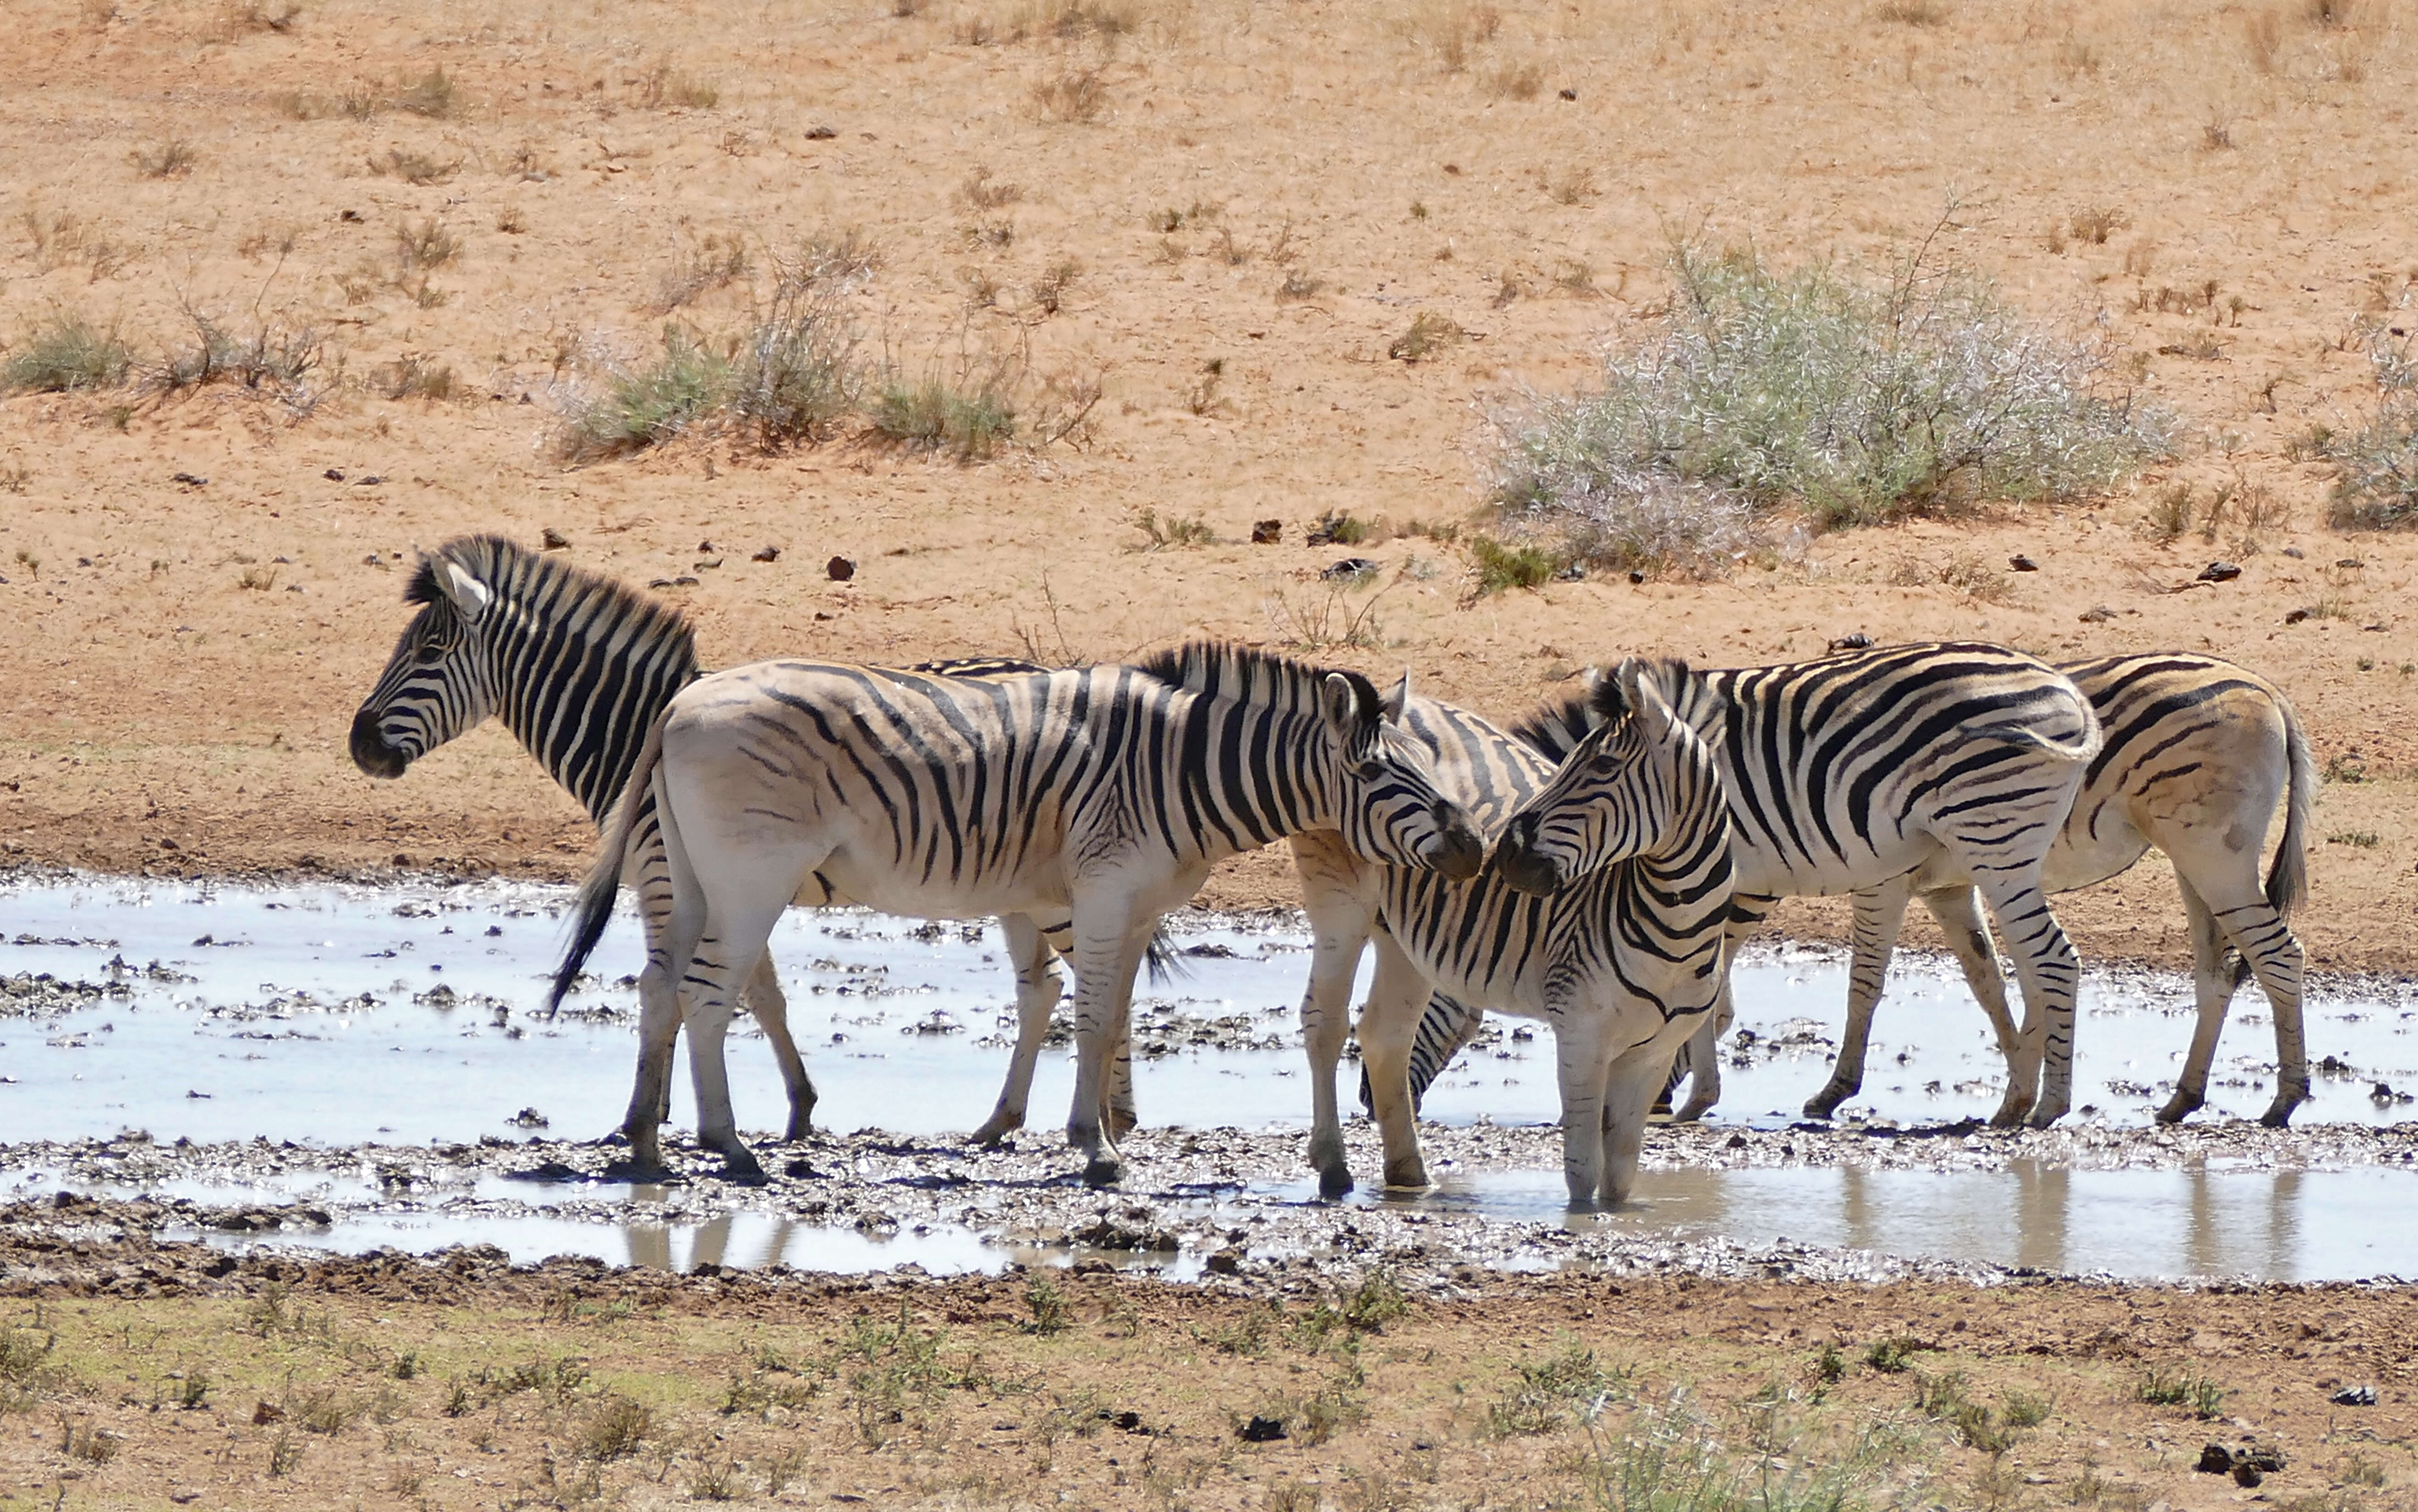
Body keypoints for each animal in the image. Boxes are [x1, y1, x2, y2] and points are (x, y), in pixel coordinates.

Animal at [348, 535, 1161, 1181]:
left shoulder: (668, 876)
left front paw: (667, 1113)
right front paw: (782, 1107)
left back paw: (1113, 1117)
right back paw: (1016, 1122)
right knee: (1047, 988)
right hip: (1020, 890)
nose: (359, 745)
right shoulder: (707, 879)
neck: (640, 727)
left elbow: (697, 991)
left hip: (1057, 889)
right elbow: (751, 991)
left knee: (1100, 983)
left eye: (426, 653)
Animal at [553, 634, 1489, 1181]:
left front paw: (1097, 1132)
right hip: (753, 876)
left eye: (1423, 763)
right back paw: (730, 1146)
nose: (1476, 848)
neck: (1179, 766)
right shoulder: (1105, 889)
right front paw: (1097, 1149)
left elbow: (1110, 1018)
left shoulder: (1136, 904)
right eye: (1375, 774)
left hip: (691, 872)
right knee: (706, 994)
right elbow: (1094, 1017)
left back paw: (645, 1142)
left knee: (658, 986)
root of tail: (680, 701)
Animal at [1344, 658, 1741, 1204]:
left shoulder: (1653, 1052)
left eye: (1603, 767)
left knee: (1386, 1037)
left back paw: (1408, 1178)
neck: (1677, 931)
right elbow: (1582, 1171)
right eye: (1569, 761)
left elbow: (1620, 1173)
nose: (1502, 854)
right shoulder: (1580, 1031)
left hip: (1405, 944)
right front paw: (1582, 1221)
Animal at [1402, 643, 2321, 1127]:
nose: (1385, 1102)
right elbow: (1985, 981)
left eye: (1439, 984)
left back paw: (2277, 1099)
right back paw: (2179, 1096)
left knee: (2270, 954)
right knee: (2216, 969)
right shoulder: (1923, 878)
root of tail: (2268, 686)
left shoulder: (1750, 881)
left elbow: (1740, 989)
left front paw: (1683, 1089)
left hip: (2186, 848)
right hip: (2193, 858)